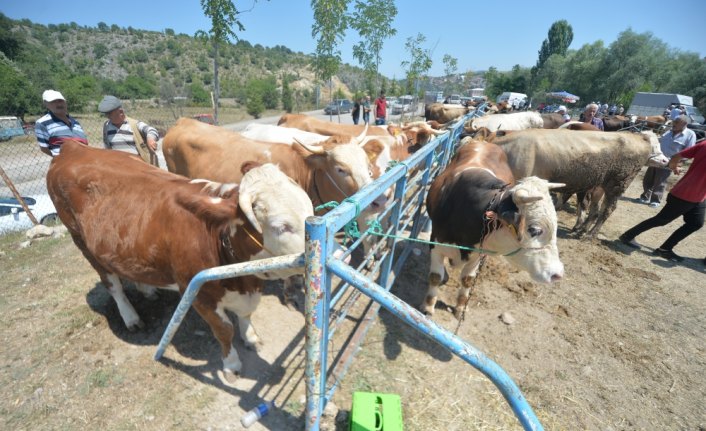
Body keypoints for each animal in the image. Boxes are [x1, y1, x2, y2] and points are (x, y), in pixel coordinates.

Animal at [48, 141, 312, 382]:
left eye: (309, 208)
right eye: (282, 227)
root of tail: (72, 148)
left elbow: (246, 315)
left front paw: (251, 338)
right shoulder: (198, 293)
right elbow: (224, 331)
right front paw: (232, 365)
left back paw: (147, 289)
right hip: (81, 242)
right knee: (112, 284)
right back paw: (131, 317)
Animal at [420, 140, 564, 318]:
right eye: (534, 229)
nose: (558, 274)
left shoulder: (478, 255)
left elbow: (467, 280)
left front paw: (460, 308)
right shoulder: (436, 244)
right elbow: (435, 277)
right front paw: (428, 307)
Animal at [490, 130, 664, 238]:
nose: (664, 160)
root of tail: (638, 137)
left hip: (618, 183)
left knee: (607, 209)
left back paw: (589, 235)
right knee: (596, 209)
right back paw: (581, 229)